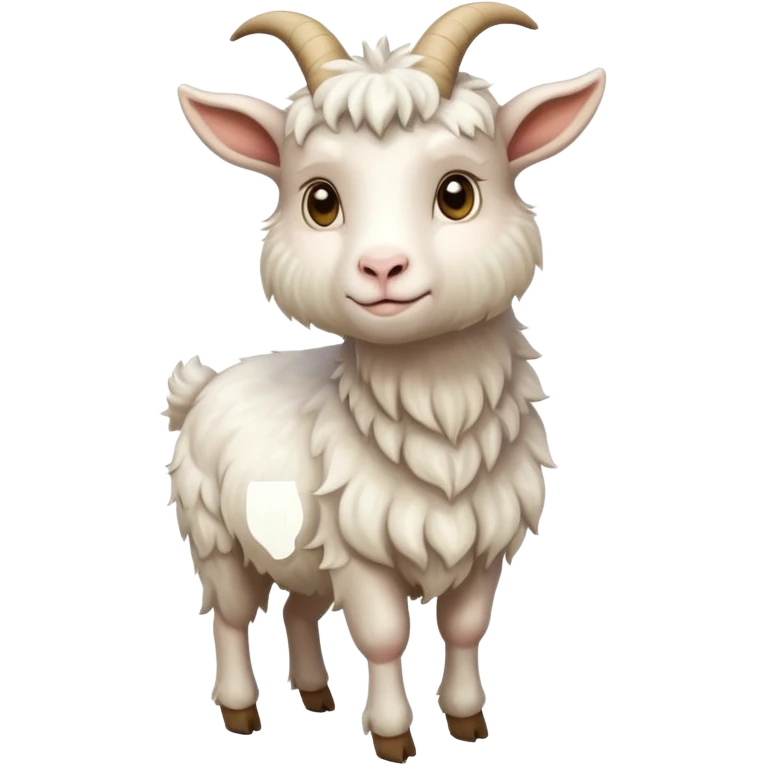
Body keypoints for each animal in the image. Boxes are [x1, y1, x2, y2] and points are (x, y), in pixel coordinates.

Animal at [168, 4, 606, 761]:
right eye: (320, 201)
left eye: (457, 194)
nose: (381, 267)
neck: (443, 422)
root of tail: (201, 387)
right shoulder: (359, 551)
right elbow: (382, 635)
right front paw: (395, 735)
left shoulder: (482, 547)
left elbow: (463, 627)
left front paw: (466, 721)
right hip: (217, 535)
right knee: (230, 615)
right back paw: (241, 710)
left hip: (299, 550)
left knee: (298, 609)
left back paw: (316, 695)